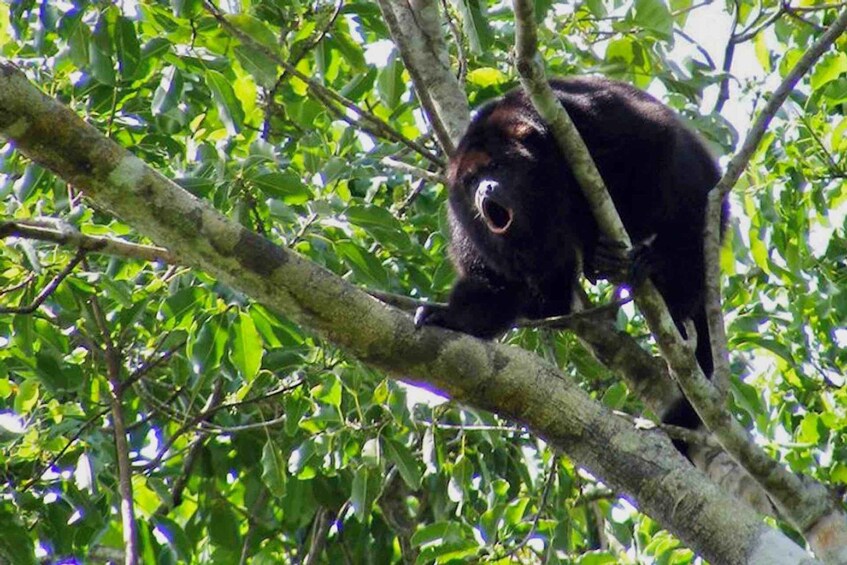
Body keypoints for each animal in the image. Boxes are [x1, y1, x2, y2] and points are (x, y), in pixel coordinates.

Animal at [416, 76, 728, 450]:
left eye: (496, 168)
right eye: (470, 180)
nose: (484, 190)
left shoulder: (581, 117)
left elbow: (653, 143)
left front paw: (622, 249)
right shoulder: (465, 221)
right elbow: (496, 285)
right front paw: (449, 317)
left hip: (708, 200)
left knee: (684, 203)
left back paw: (663, 271)